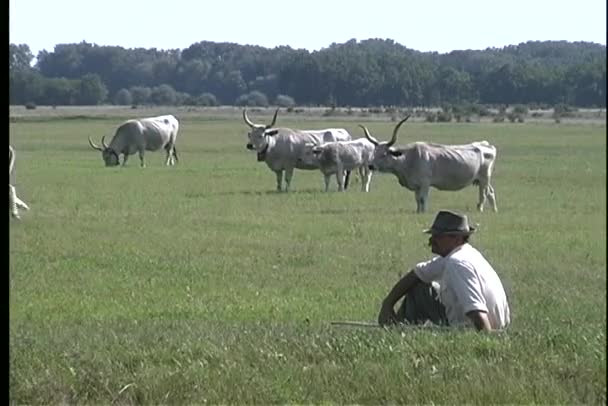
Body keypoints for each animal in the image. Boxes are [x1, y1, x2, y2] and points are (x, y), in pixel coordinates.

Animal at [358, 115, 496, 213]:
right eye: (374, 152)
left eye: (384, 154)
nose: (371, 166)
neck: (409, 159)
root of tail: (485, 145)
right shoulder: (416, 186)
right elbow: (417, 200)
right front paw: (418, 212)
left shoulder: (425, 184)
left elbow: (423, 199)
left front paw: (423, 212)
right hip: (482, 180)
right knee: (490, 192)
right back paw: (494, 211)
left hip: (484, 179)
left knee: (484, 195)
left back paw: (480, 210)